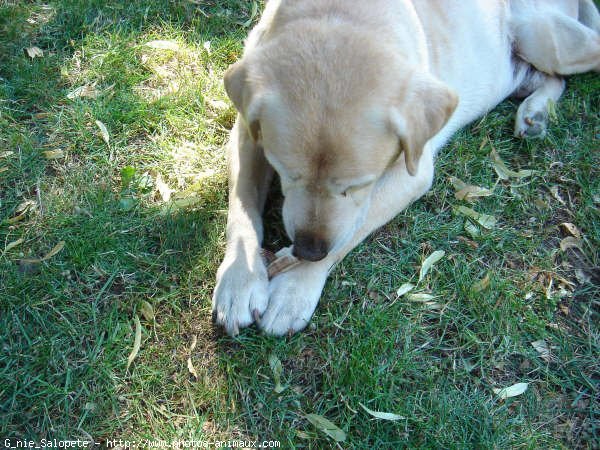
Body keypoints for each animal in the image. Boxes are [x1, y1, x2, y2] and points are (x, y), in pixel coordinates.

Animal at [211, 0, 600, 336]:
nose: (309, 251)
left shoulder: (412, 171)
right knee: (550, 79)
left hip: (545, 37)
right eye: (285, 173)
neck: (341, 13)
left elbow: (352, 229)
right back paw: (535, 113)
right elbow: (242, 209)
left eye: (357, 185)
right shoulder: (246, 134)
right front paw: (240, 278)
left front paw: (295, 286)